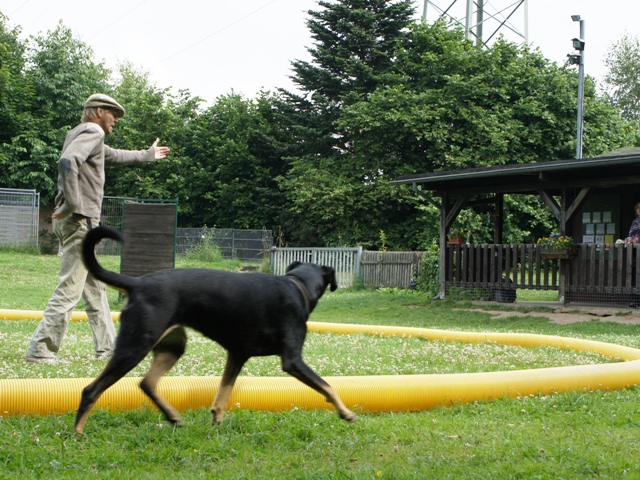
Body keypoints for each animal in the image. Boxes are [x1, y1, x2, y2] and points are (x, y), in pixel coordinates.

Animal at [75, 227, 358, 434]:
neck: (298, 285)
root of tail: (136, 283)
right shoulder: (292, 361)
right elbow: (328, 386)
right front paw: (346, 413)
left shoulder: (237, 354)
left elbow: (223, 393)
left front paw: (216, 421)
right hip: (134, 347)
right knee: (91, 390)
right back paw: (78, 433)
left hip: (172, 346)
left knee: (147, 383)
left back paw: (173, 417)